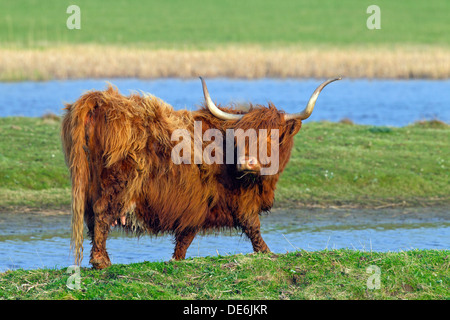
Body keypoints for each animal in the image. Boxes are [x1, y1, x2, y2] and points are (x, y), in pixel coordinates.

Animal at [61, 76, 340, 268]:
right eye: (242, 136)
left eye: (274, 136)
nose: (247, 163)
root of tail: (100, 99)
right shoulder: (237, 201)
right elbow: (253, 226)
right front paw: (268, 253)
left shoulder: (195, 209)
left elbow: (183, 242)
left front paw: (176, 261)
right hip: (117, 182)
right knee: (101, 214)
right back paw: (102, 262)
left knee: (90, 219)